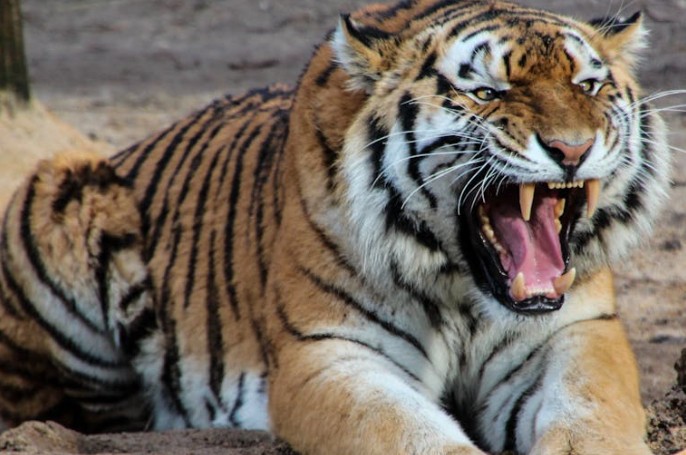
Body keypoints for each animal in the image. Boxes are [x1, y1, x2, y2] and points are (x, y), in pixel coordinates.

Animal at [0, 0, 672, 453]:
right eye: (485, 92)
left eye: (588, 84)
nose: (572, 149)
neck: (466, 291)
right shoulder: (329, 353)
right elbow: (407, 432)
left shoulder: (578, 331)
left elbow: (591, 412)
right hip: (60, 187)